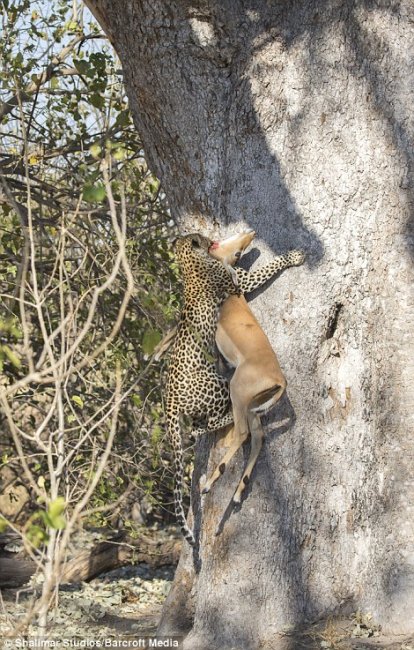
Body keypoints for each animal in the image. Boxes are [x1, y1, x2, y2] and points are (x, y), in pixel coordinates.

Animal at [165, 230, 304, 544]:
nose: (251, 232)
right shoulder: (241, 282)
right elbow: (266, 269)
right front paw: (294, 257)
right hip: (232, 389)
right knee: (238, 432)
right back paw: (212, 481)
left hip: (248, 402)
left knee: (255, 435)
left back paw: (237, 490)